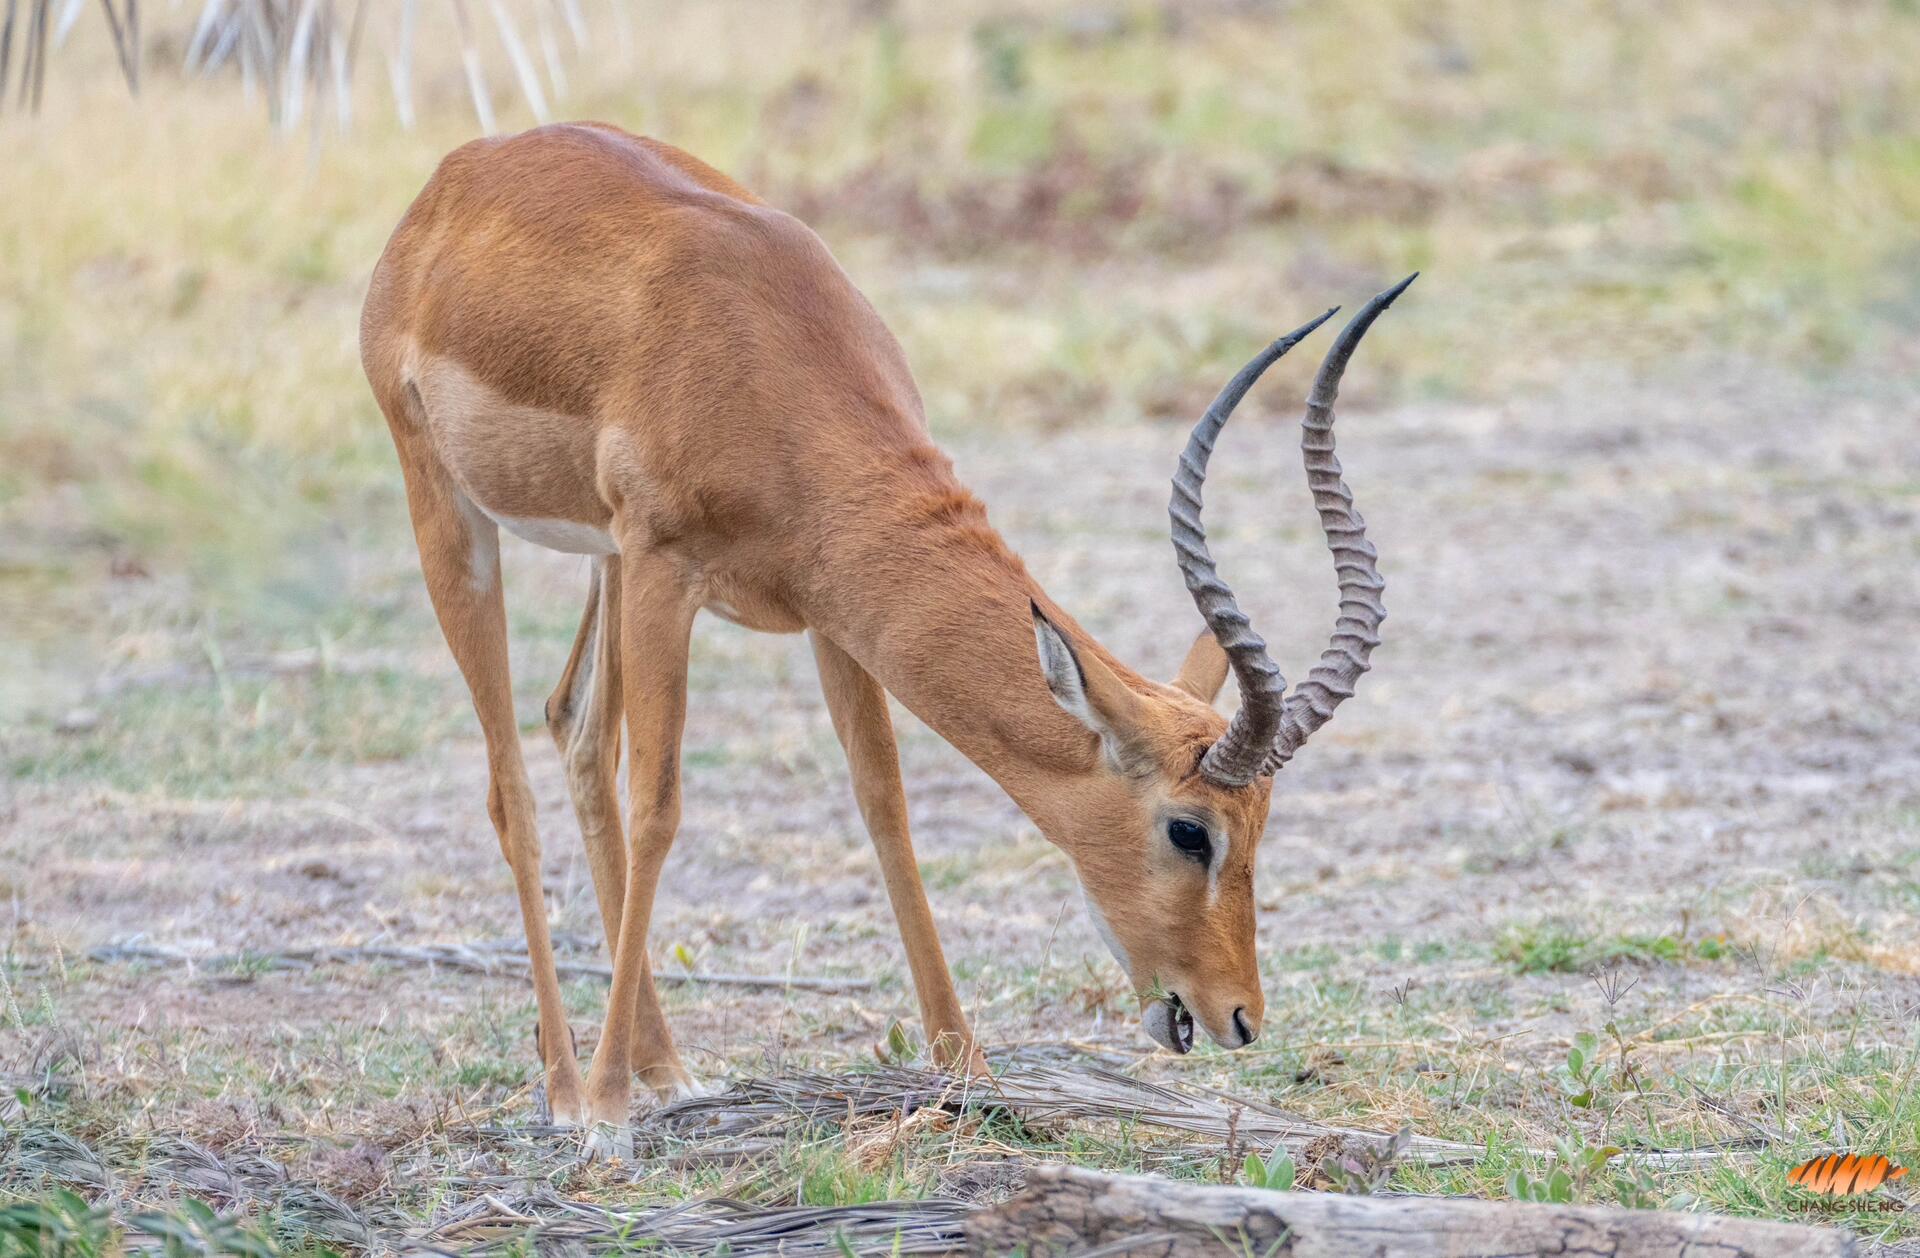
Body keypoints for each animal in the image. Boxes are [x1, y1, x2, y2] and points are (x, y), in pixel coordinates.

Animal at [362, 122, 1413, 1160]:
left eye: (1262, 825)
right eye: (1190, 830)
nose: (1237, 1016)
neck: (765, 356)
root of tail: (455, 179)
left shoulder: (835, 610)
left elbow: (887, 811)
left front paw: (971, 1075)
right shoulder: (667, 568)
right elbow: (659, 807)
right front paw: (610, 1112)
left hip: (603, 559)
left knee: (575, 726)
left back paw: (668, 1071)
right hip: (456, 514)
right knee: (514, 790)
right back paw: (572, 1091)